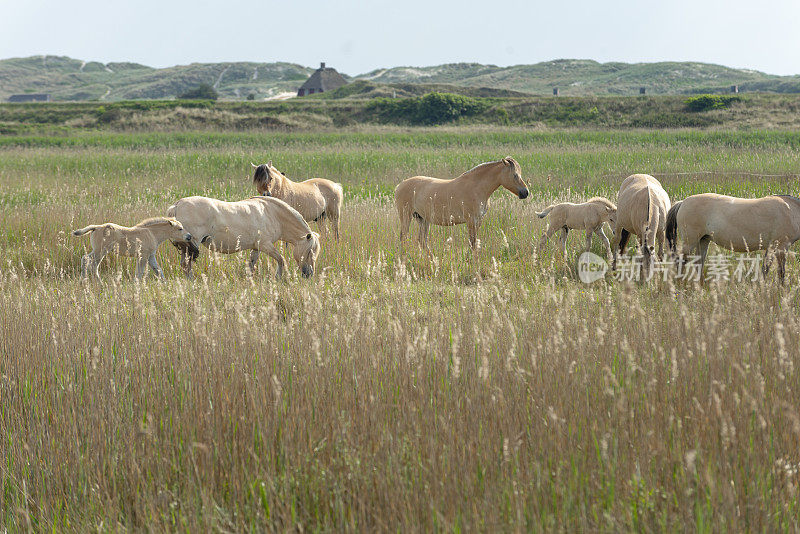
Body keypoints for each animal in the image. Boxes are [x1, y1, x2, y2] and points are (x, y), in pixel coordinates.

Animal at [167, 197, 320, 280]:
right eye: (309, 252)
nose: (309, 274)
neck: (273, 214)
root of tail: (177, 204)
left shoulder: (256, 247)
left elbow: (251, 265)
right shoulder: (265, 245)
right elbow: (281, 260)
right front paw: (278, 278)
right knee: (186, 265)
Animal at [396, 157, 532, 258]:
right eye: (515, 175)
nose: (525, 192)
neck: (477, 187)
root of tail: (399, 185)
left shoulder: (478, 221)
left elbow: (473, 242)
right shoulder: (471, 220)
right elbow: (472, 242)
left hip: (423, 219)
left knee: (422, 240)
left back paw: (433, 259)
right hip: (406, 216)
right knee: (404, 237)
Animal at [664, 193, 800, 284]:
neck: (792, 210)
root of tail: (683, 202)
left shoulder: (772, 247)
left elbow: (765, 268)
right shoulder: (781, 246)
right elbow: (781, 271)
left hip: (703, 240)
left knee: (698, 263)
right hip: (690, 241)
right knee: (681, 260)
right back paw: (680, 283)